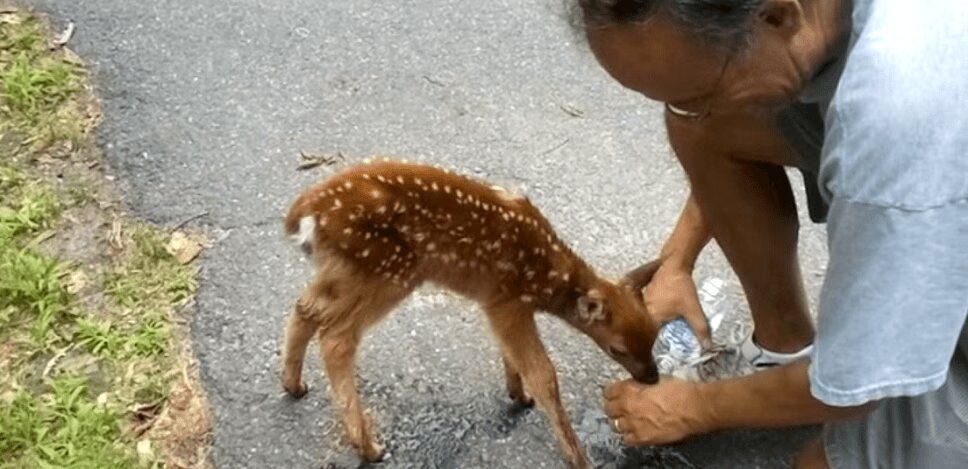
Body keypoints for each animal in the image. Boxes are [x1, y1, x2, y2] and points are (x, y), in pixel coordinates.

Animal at [280, 160, 660, 468]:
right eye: (617, 348)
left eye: (655, 334)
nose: (653, 378)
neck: (546, 275)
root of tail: (305, 213)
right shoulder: (506, 300)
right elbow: (543, 374)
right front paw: (577, 456)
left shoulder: (499, 304)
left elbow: (512, 355)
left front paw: (517, 393)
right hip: (387, 270)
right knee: (336, 338)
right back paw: (369, 447)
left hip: (348, 271)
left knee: (305, 309)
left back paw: (294, 384)